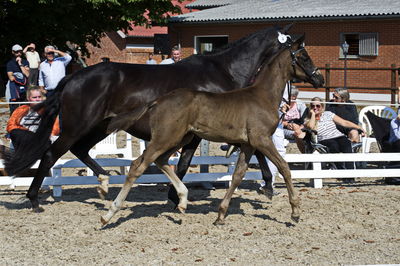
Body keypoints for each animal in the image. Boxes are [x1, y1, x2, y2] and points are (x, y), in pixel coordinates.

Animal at [5, 25, 290, 212]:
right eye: (292, 47)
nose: (311, 75)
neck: (222, 71)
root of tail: (72, 77)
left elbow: (185, 163)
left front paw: (175, 197)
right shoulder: (218, 130)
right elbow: (254, 152)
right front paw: (267, 185)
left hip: (100, 127)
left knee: (80, 150)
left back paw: (104, 183)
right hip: (77, 127)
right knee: (51, 155)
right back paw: (34, 200)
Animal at [101, 33, 324, 224]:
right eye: (304, 57)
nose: (320, 79)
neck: (262, 95)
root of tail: (158, 100)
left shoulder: (248, 144)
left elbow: (238, 175)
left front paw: (221, 214)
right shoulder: (261, 140)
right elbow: (284, 167)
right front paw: (295, 211)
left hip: (179, 138)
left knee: (161, 160)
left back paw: (182, 200)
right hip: (165, 138)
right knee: (138, 166)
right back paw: (109, 214)